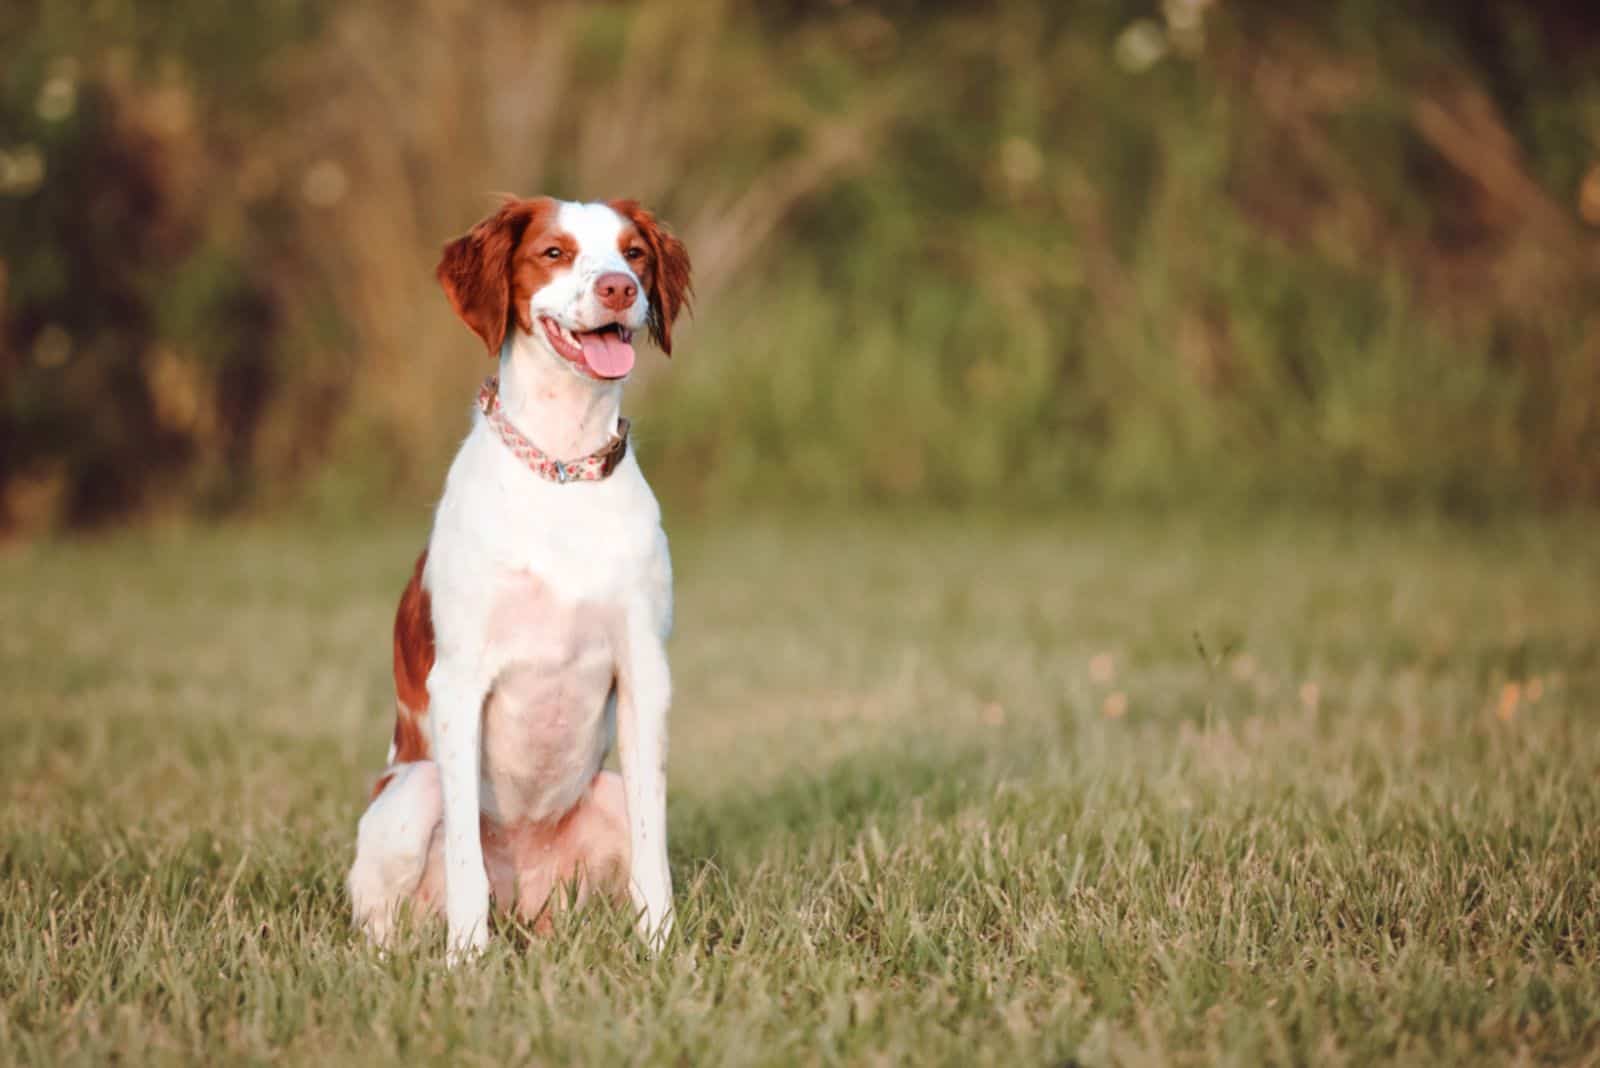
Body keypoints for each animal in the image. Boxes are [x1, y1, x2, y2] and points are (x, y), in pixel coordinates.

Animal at [347, 195, 691, 952]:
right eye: (554, 253)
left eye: (634, 253)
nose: (619, 287)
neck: (561, 469)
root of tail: (525, 905)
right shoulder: (458, 680)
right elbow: (464, 862)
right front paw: (466, 960)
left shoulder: (645, 670)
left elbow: (655, 848)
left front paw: (662, 948)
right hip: (413, 790)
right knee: (381, 919)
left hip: (603, 795)